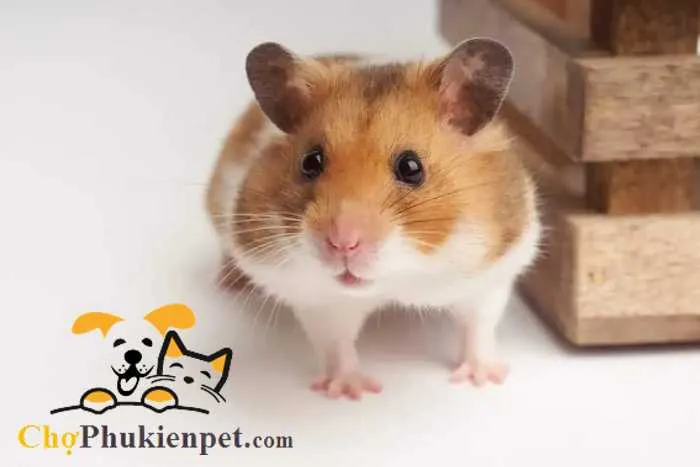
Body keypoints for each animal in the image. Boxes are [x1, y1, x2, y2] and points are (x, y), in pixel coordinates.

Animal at [206, 39, 541, 400]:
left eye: (411, 167)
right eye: (311, 162)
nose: (342, 243)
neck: (400, 278)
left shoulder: (490, 275)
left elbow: (479, 327)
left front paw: (483, 379)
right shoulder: (318, 299)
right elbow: (336, 344)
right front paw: (352, 392)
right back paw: (230, 282)